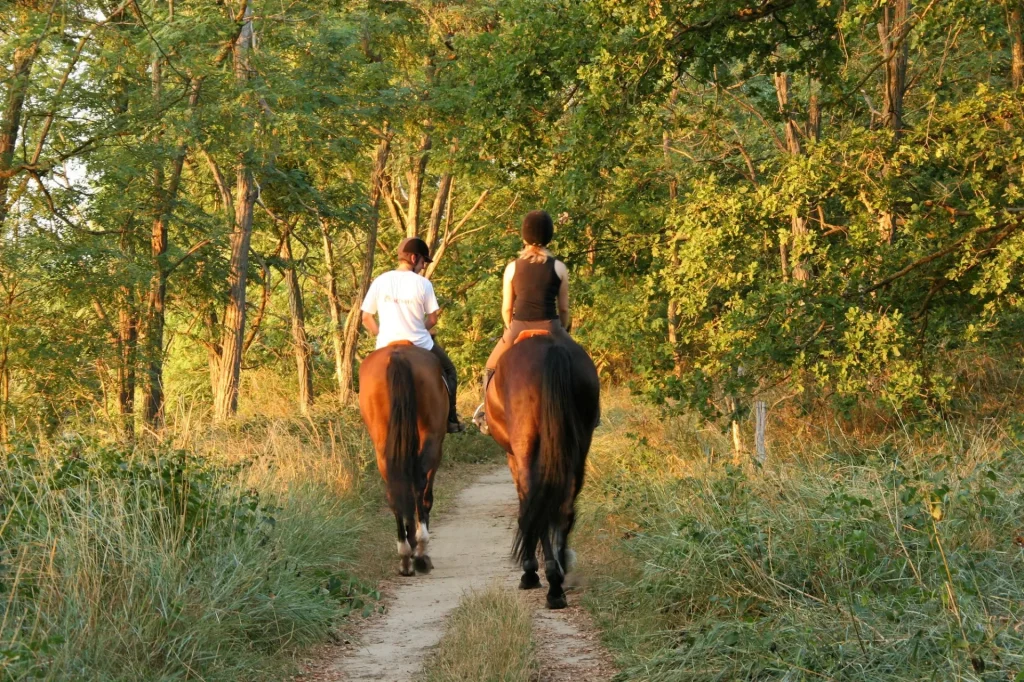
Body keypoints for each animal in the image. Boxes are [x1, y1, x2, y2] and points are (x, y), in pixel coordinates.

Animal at [358, 339, 446, 573]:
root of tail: (398, 354)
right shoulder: (437, 448)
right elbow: (426, 497)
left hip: (382, 443)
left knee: (394, 489)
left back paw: (405, 553)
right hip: (432, 437)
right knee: (419, 484)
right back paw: (421, 551)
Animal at [485, 329, 598, 606]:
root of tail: (550, 350)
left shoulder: (513, 457)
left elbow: (526, 507)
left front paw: (530, 571)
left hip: (526, 449)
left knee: (539, 508)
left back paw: (551, 584)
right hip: (579, 448)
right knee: (565, 507)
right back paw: (560, 574)